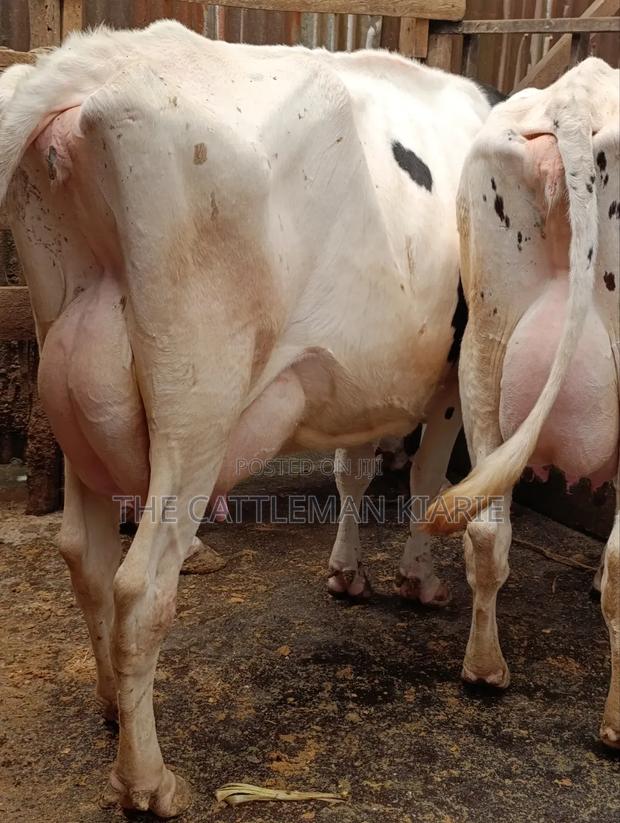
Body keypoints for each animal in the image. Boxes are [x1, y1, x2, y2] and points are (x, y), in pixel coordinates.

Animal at [0, 21, 495, 815]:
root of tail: (93, 61)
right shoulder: (449, 374)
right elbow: (425, 480)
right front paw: (419, 580)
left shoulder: (360, 385)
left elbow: (353, 470)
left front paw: (349, 573)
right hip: (197, 403)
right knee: (142, 588)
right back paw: (149, 781)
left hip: (72, 377)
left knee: (86, 554)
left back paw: (111, 706)